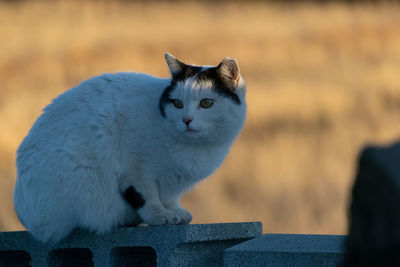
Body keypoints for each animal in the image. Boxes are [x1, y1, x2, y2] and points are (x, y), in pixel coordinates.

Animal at [13, 52, 247, 245]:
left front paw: (175, 212)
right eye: (177, 103)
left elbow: (169, 198)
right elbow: (147, 196)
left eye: (206, 103)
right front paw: (160, 215)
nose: (186, 120)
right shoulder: (136, 169)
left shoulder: (170, 183)